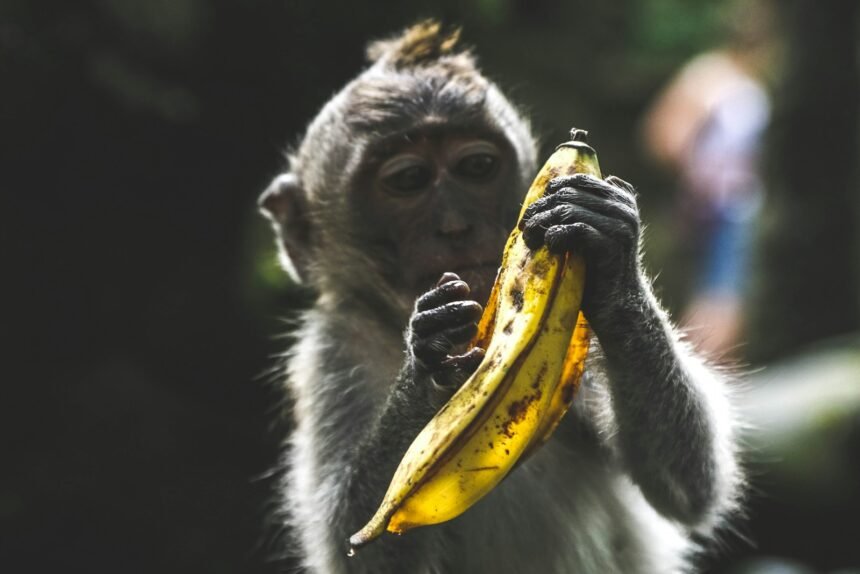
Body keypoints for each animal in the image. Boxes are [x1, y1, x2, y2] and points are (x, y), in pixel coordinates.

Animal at [258, 19, 744, 574]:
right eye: (409, 180)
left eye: (476, 167)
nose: (455, 224)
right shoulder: (330, 355)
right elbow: (352, 548)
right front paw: (428, 360)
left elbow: (687, 486)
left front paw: (615, 264)